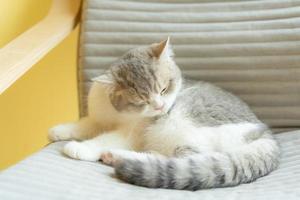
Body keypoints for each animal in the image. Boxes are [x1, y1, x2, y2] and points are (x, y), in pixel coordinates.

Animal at [48, 38, 280, 191]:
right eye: (141, 100)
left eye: (163, 89)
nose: (159, 107)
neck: (118, 114)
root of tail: (264, 132)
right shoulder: (98, 118)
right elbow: (84, 125)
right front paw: (60, 130)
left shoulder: (132, 132)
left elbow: (106, 138)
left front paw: (81, 147)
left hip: (177, 124)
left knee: (186, 157)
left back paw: (116, 155)